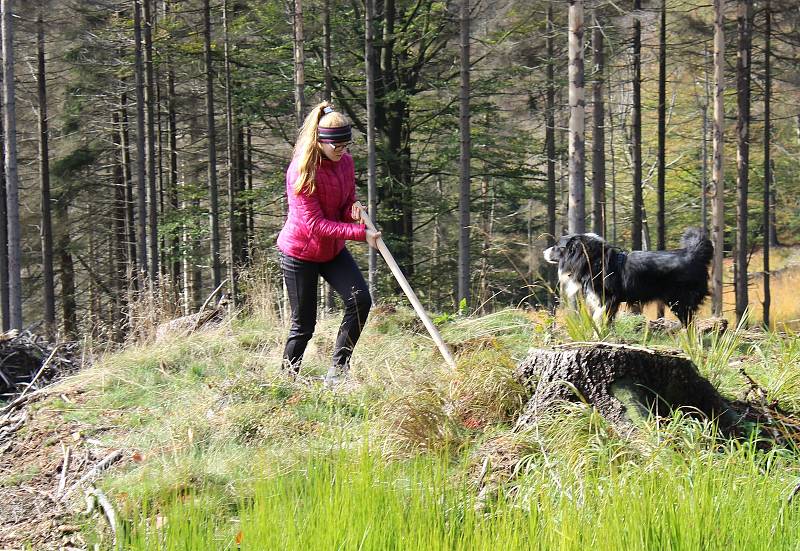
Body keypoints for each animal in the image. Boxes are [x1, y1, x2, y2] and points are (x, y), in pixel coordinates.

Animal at [544, 227, 712, 326]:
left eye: (557, 246)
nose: (543, 252)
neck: (592, 260)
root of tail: (693, 254)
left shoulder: (608, 299)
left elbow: (600, 319)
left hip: (679, 301)